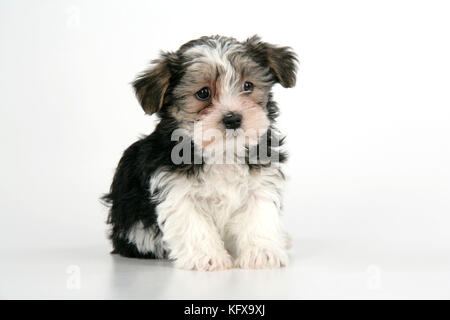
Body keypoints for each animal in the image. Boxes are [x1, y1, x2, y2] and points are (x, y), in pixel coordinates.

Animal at [103, 35, 298, 270]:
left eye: (248, 85)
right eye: (203, 93)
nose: (233, 119)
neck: (222, 151)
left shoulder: (260, 183)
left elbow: (258, 216)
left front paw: (262, 253)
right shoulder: (176, 190)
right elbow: (194, 223)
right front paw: (208, 257)